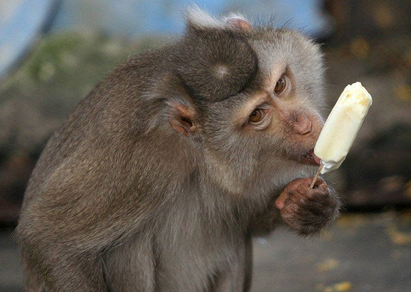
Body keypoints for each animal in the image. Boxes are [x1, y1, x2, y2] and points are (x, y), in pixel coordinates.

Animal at [15, 8, 342, 290]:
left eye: (280, 85)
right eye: (257, 115)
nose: (305, 126)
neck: (199, 152)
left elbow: (249, 222)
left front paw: (307, 206)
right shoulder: (137, 162)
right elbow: (48, 237)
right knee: (127, 248)